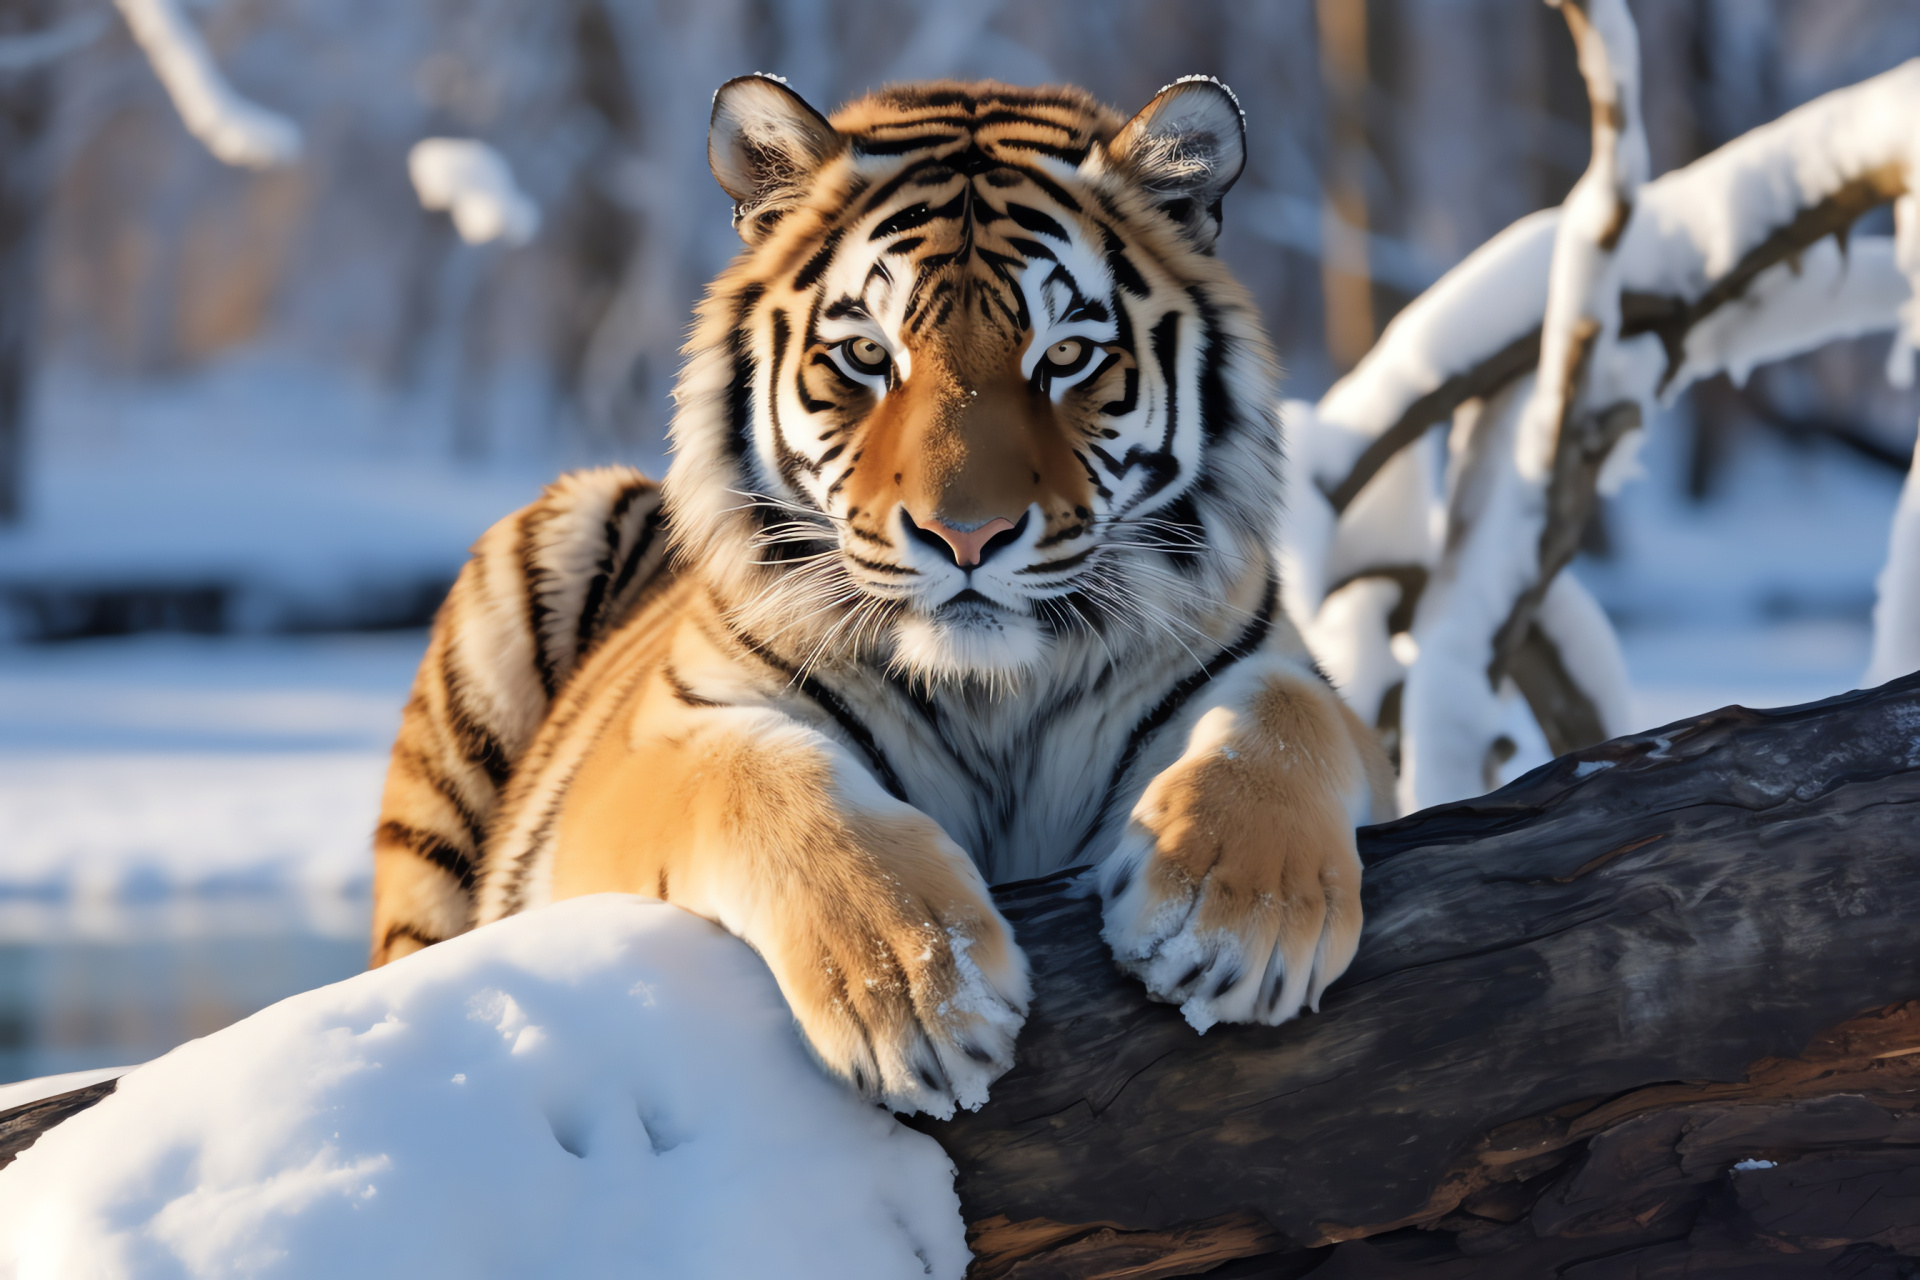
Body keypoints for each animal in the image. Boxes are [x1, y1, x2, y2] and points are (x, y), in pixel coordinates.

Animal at [370, 77, 1397, 1120]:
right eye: (867, 355)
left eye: (1067, 355)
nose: (968, 537)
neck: (991, 696)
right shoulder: (652, 744)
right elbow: (759, 774)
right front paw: (918, 991)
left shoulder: (1276, 668)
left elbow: (1285, 714)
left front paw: (1231, 925)